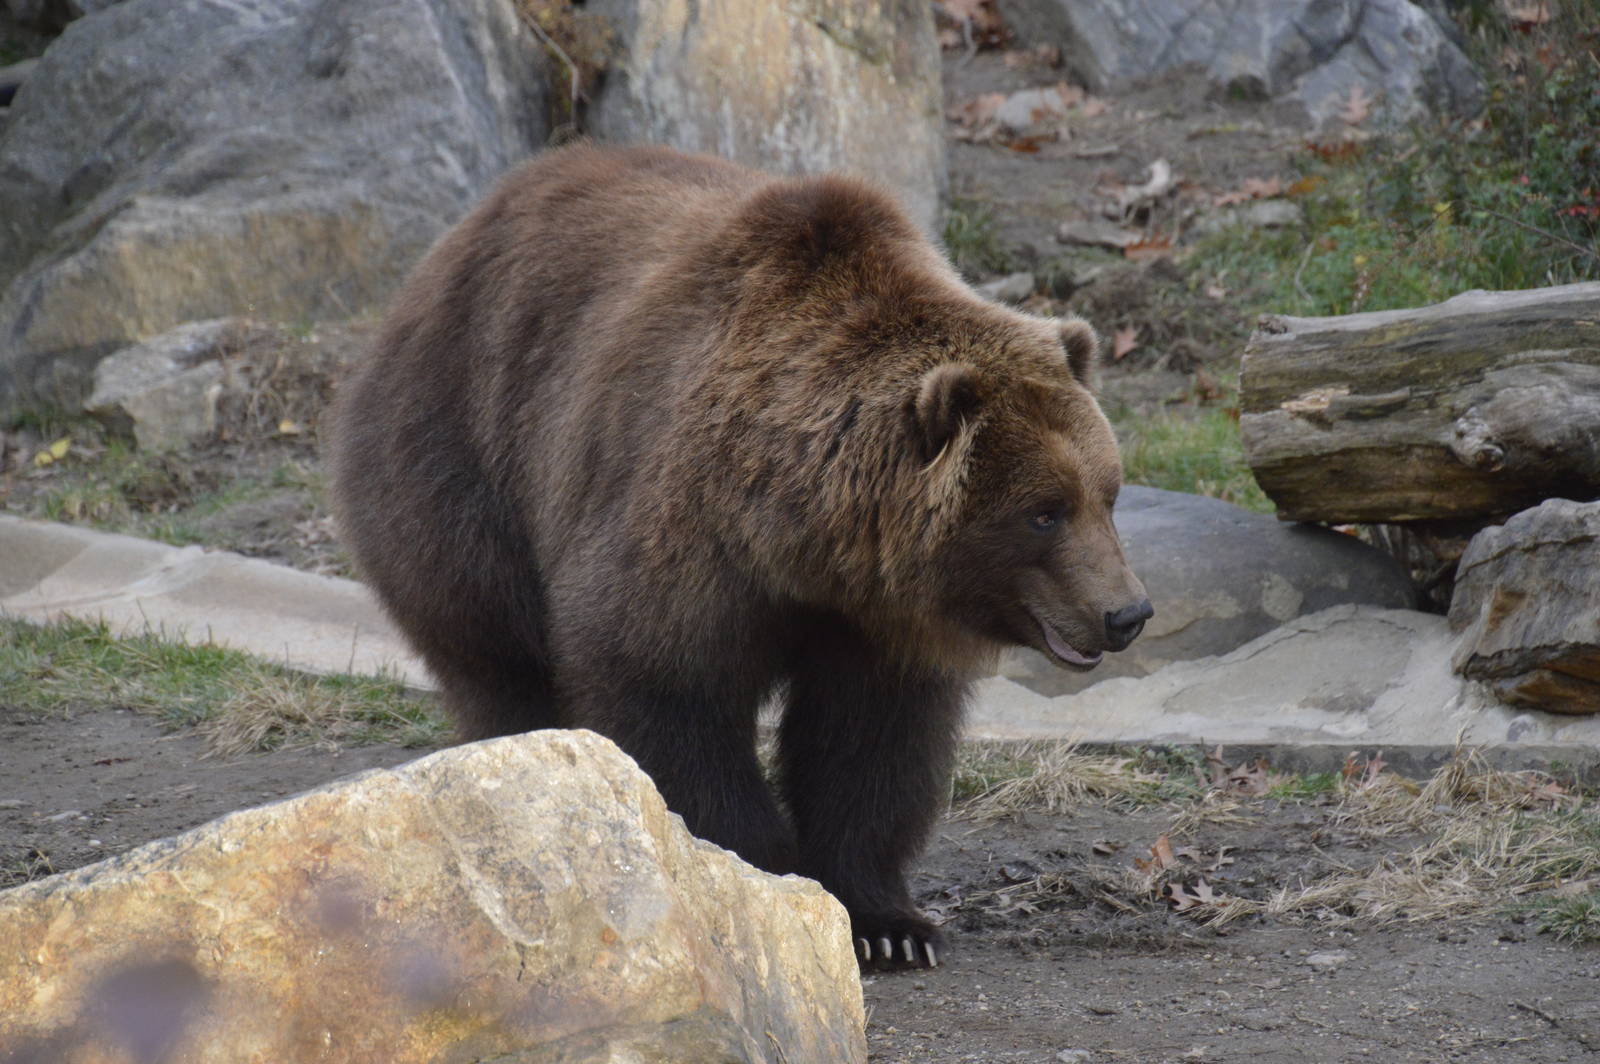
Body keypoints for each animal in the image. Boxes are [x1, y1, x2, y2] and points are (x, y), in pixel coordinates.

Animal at [329, 143, 1151, 970]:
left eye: (1107, 493)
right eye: (1042, 512)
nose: (1126, 613)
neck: (807, 541)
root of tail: (451, 244)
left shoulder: (878, 621)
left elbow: (871, 745)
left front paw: (889, 925)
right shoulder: (686, 533)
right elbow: (665, 688)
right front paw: (758, 872)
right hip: (467, 459)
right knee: (497, 660)